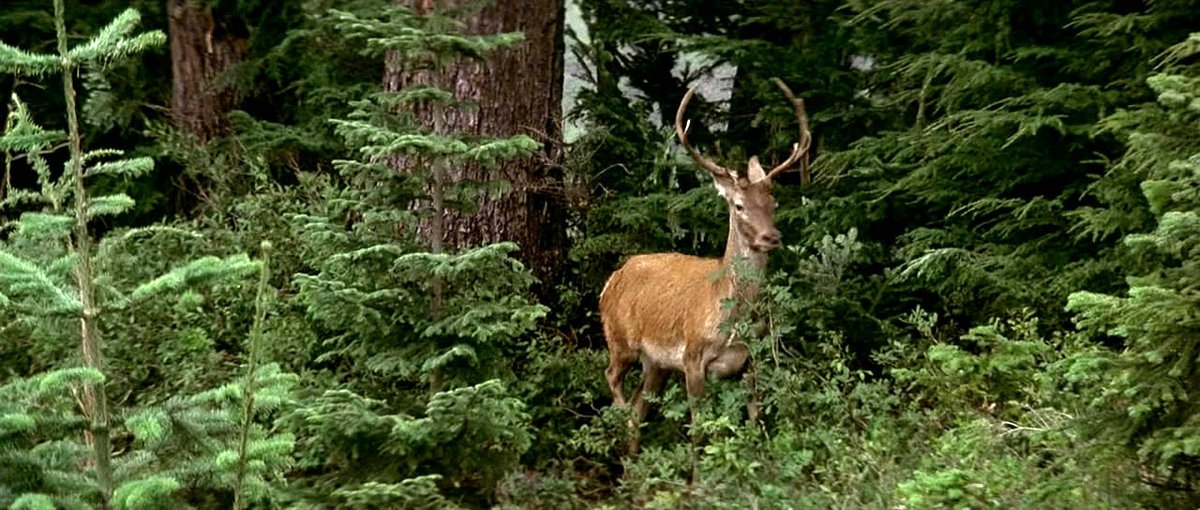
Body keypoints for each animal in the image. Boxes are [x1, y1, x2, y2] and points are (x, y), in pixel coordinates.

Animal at [599, 79, 811, 447]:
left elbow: (756, 423)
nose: (771, 236)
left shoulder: (751, 361)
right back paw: (620, 416)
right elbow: (700, 432)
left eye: (774, 203)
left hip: (656, 364)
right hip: (620, 339)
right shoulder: (692, 358)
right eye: (739, 205)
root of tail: (610, 281)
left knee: (640, 408)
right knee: (613, 378)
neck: (731, 319)